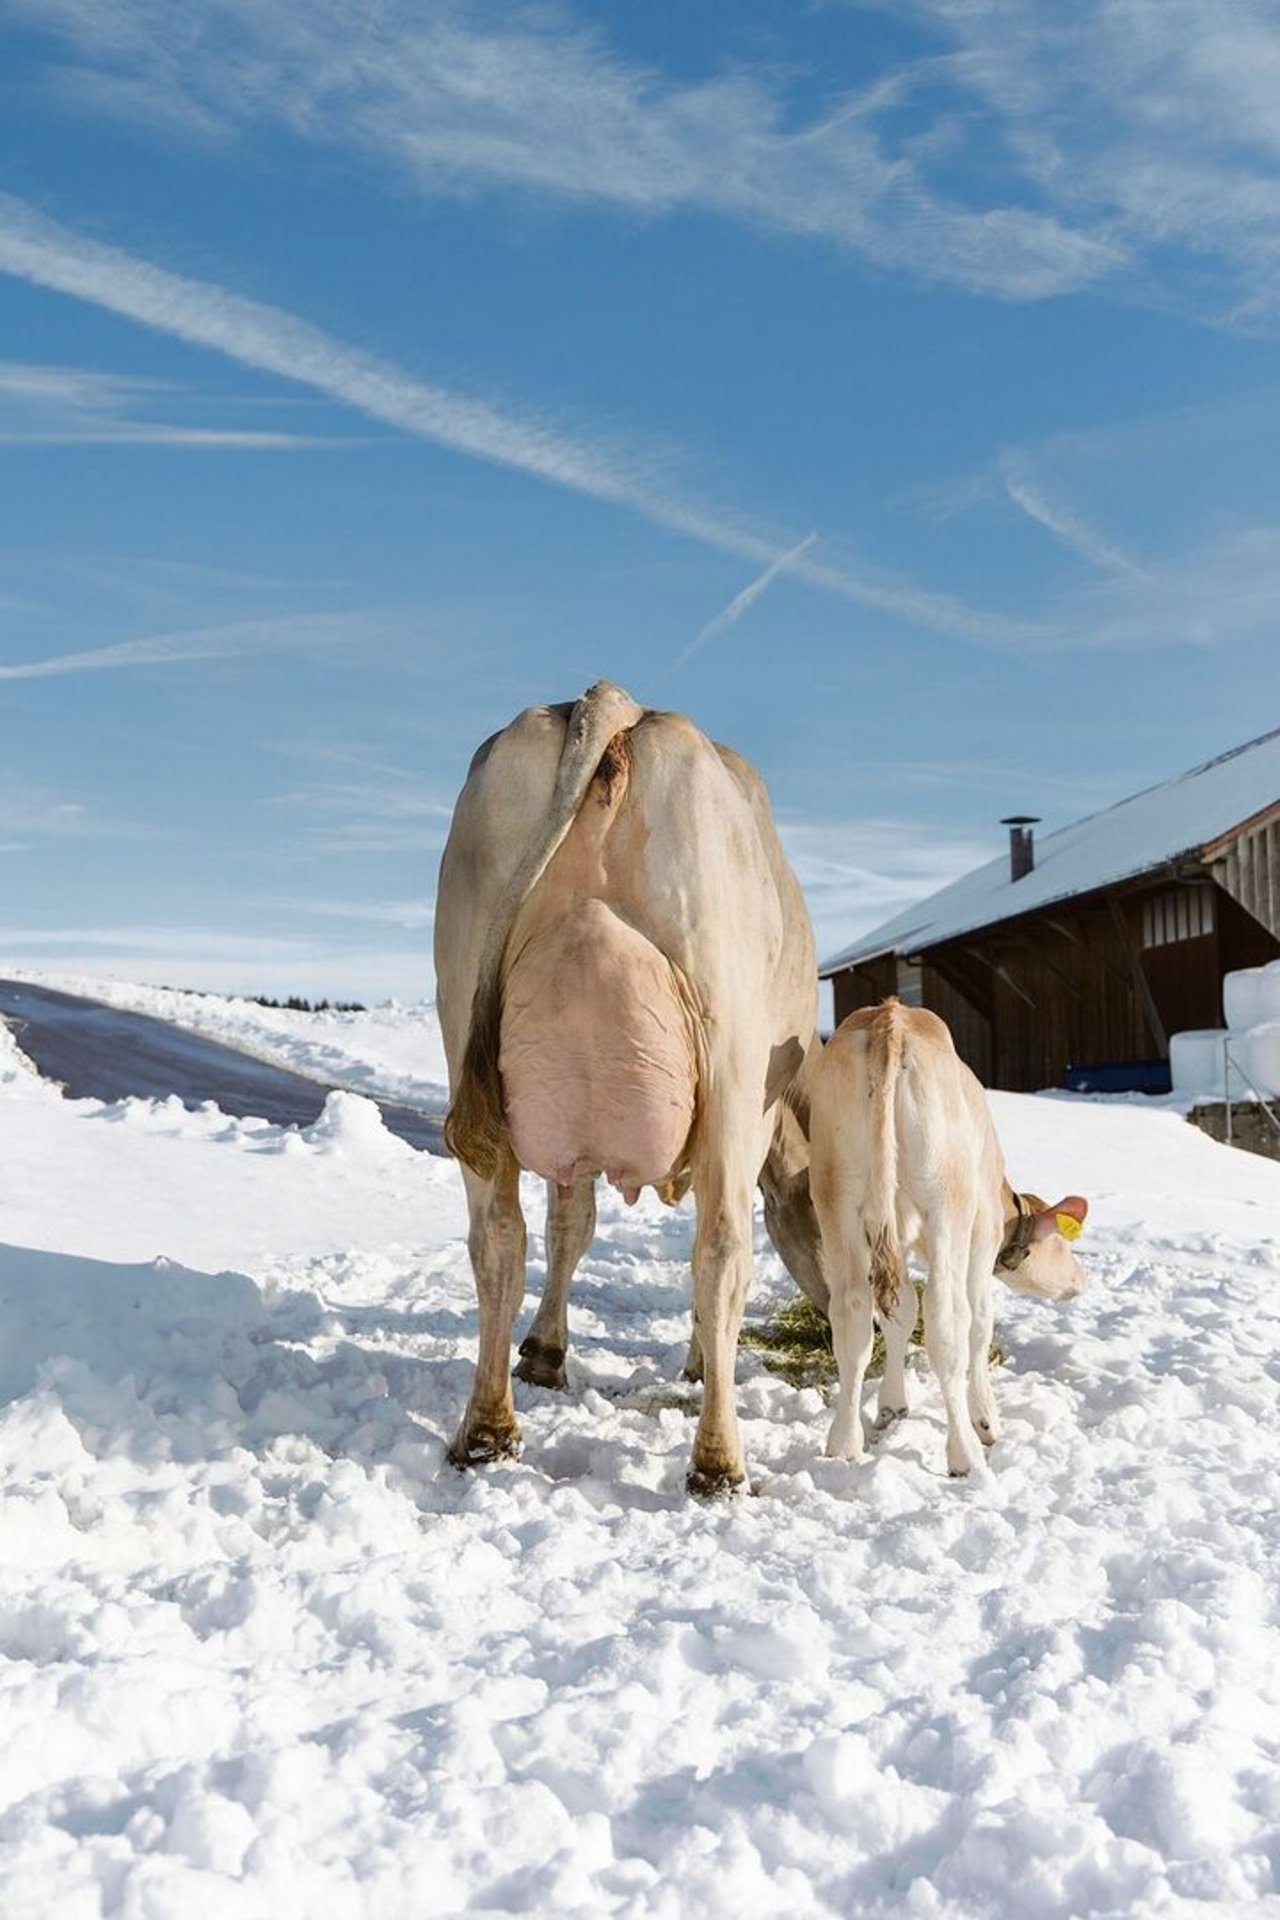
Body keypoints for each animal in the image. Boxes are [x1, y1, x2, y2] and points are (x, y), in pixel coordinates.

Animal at [437, 683, 821, 1489]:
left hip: (463, 1028)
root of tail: (612, 700)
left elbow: (570, 1223)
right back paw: (719, 1464)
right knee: (721, 1249)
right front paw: (700, 1361)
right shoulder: (751, 1117)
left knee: (498, 1236)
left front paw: (544, 1352)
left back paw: (487, 1431)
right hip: (730, 1057)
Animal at [805, 998, 1090, 1474]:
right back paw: (965, 1453)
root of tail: (889, 1017)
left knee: (853, 1314)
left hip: (835, 1194)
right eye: (1063, 1244)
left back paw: (843, 1442)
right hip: (946, 1203)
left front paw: (892, 1406)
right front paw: (985, 1417)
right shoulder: (982, 1230)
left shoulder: (895, 1235)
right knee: (947, 1319)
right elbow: (980, 1319)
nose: (1082, 1279)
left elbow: (899, 1312)